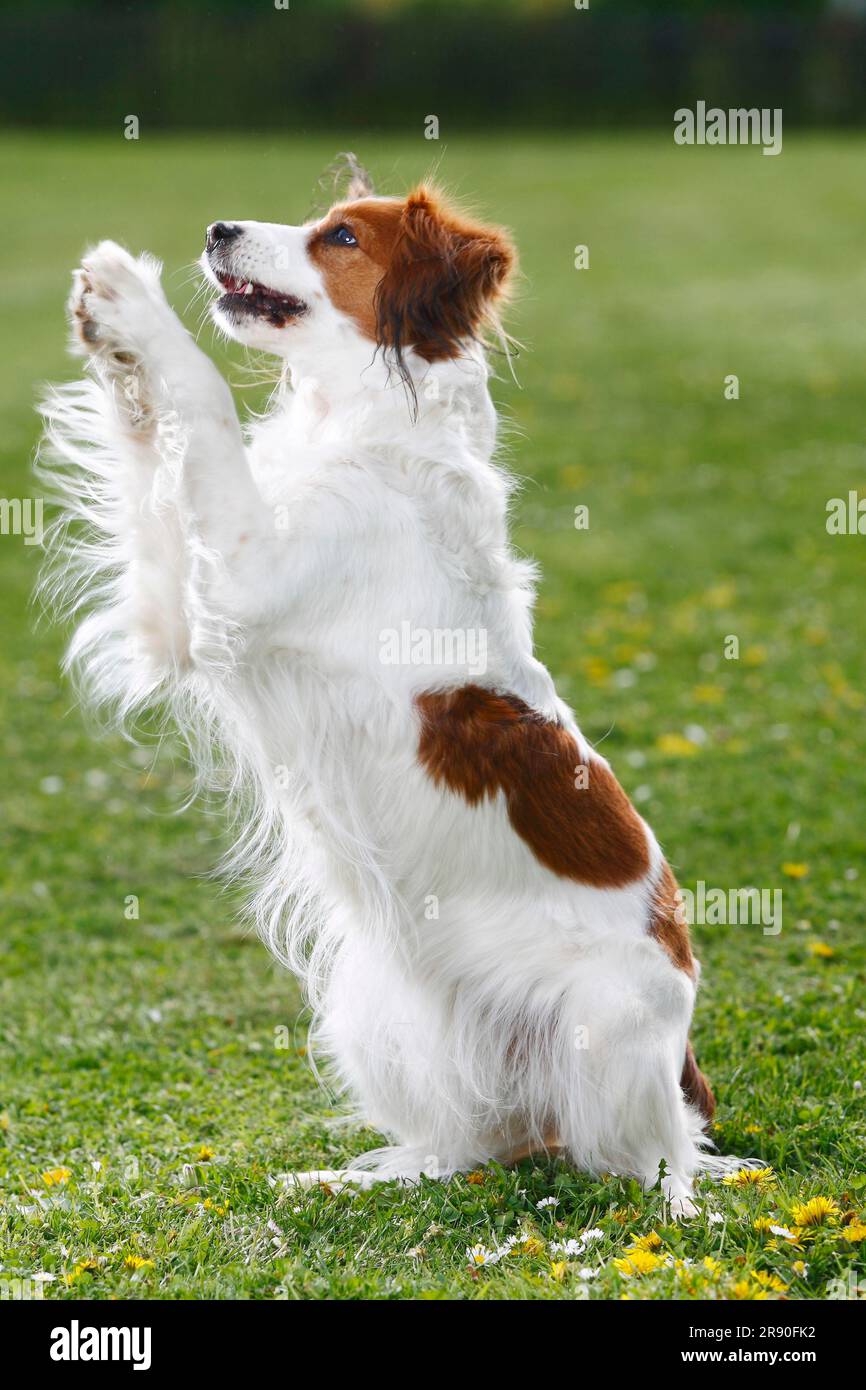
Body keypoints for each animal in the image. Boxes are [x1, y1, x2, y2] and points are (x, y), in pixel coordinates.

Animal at [38, 154, 733, 1217]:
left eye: (342, 238)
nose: (216, 229)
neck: (360, 430)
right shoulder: (186, 619)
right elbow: (153, 445)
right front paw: (107, 333)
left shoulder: (243, 573)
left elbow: (202, 395)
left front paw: (132, 296)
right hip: (372, 1006)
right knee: (469, 1145)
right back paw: (344, 1178)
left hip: (604, 1030)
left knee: (626, 1160)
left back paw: (653, 1198)